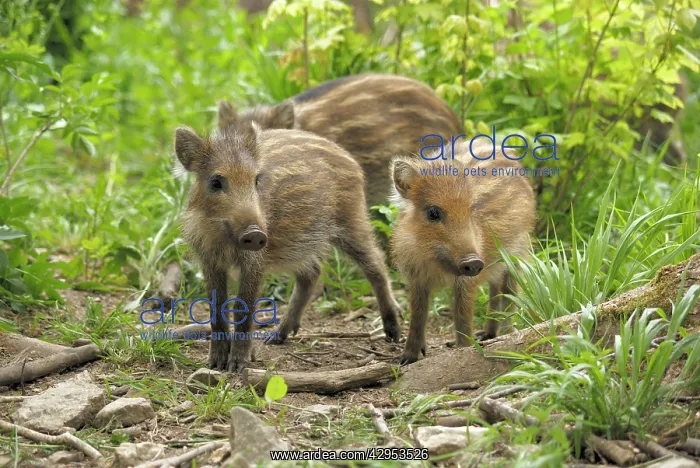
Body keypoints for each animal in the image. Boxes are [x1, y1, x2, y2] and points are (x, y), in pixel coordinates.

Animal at [174, 120, 403, 372]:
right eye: (216, 182)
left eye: (256, 180)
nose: (255, 233)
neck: (225, 239)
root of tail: (349, 159)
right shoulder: (209, 260)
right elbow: (216, 307)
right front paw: (214, 363)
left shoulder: (256, 260)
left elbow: (243, 307)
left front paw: (237, 365)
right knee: (312, 273)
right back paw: (276, 337)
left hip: (352, 221)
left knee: (376, 264)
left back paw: (394, 333)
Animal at [390, 140, 536, 364]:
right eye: (433, 212)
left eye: (471, 209)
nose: (474, 261)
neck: (436, 264)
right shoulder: (416, 277)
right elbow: (417, 315)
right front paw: (406, 359)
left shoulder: (467, 280)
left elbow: (463, 315)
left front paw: (463, 350)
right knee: (495, 289)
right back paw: (487, 334)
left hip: (518, 253)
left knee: (509, 293)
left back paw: (506, 334)